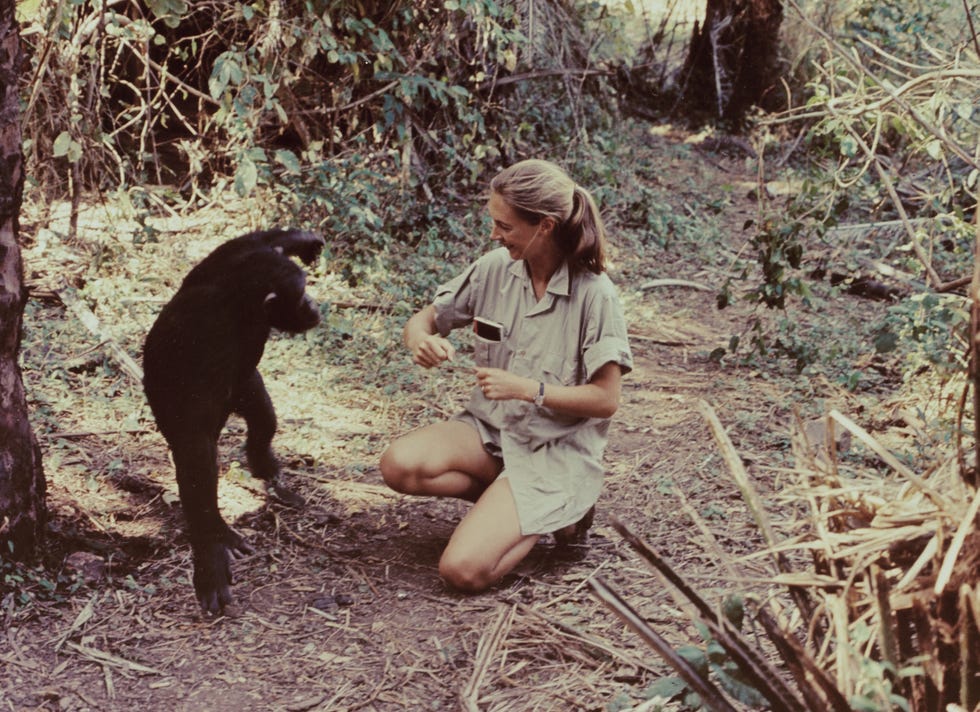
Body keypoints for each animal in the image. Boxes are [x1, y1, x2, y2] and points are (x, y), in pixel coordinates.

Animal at [143, 228, 326, 612]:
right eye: (301, 294)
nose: (313, 303)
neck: (242, 303)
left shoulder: (228, 260)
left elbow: (244, 242)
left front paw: (303, 239)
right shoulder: (205, 345)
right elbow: (195, 451)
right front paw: (209, 561)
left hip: (244, 387)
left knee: (262, 415)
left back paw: (263, 463)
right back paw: (221, 530)